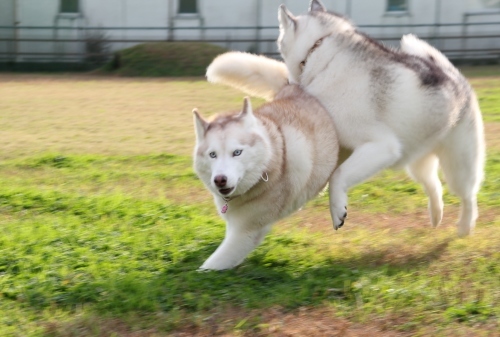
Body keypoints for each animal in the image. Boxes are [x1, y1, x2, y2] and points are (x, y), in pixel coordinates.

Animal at [206, 0, 484, 236]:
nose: (290, 84)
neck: (319, 49)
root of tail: (454, 76)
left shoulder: (381, 147)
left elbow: (338, 175)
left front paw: (337, 210)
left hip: (459, 165)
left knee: (468, 194)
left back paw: (465, 227)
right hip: (417, 161)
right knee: (434, 185)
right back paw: (436, 215)